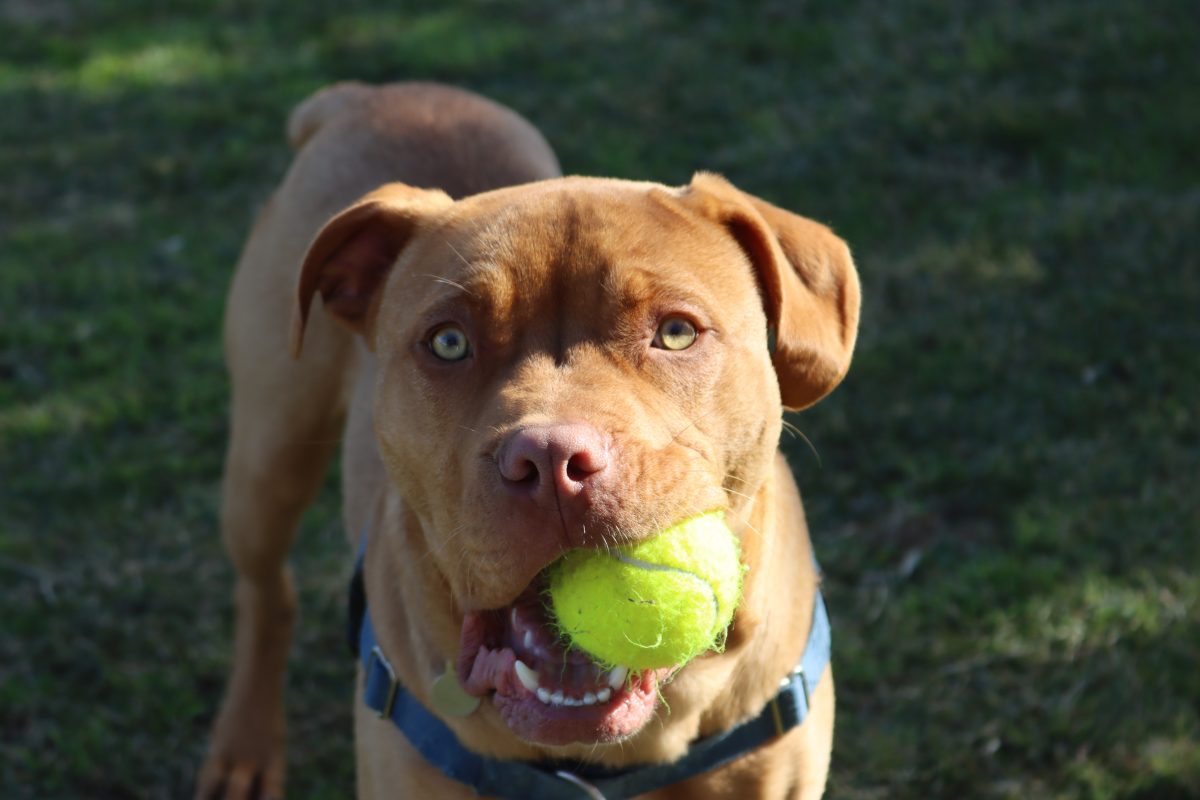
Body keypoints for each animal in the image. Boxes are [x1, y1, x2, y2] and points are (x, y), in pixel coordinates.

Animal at [201, 81, 864, 800]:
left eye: (677, 332)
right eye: (448, 341)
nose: (551, 462)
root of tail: (377, 93)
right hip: (269, 458)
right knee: (266, 592)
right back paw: (245, 743)